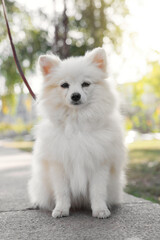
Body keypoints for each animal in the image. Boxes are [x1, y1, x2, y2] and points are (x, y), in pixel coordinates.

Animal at [28, 47, 126, 219]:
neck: (77, 120)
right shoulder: (58, 164)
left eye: (85, 84)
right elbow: (62, 191)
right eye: (64, 85)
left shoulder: (99, 163)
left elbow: (98, 190)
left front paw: (100, 210)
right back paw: (36, 204)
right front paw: (61, 210)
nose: (75, 95)